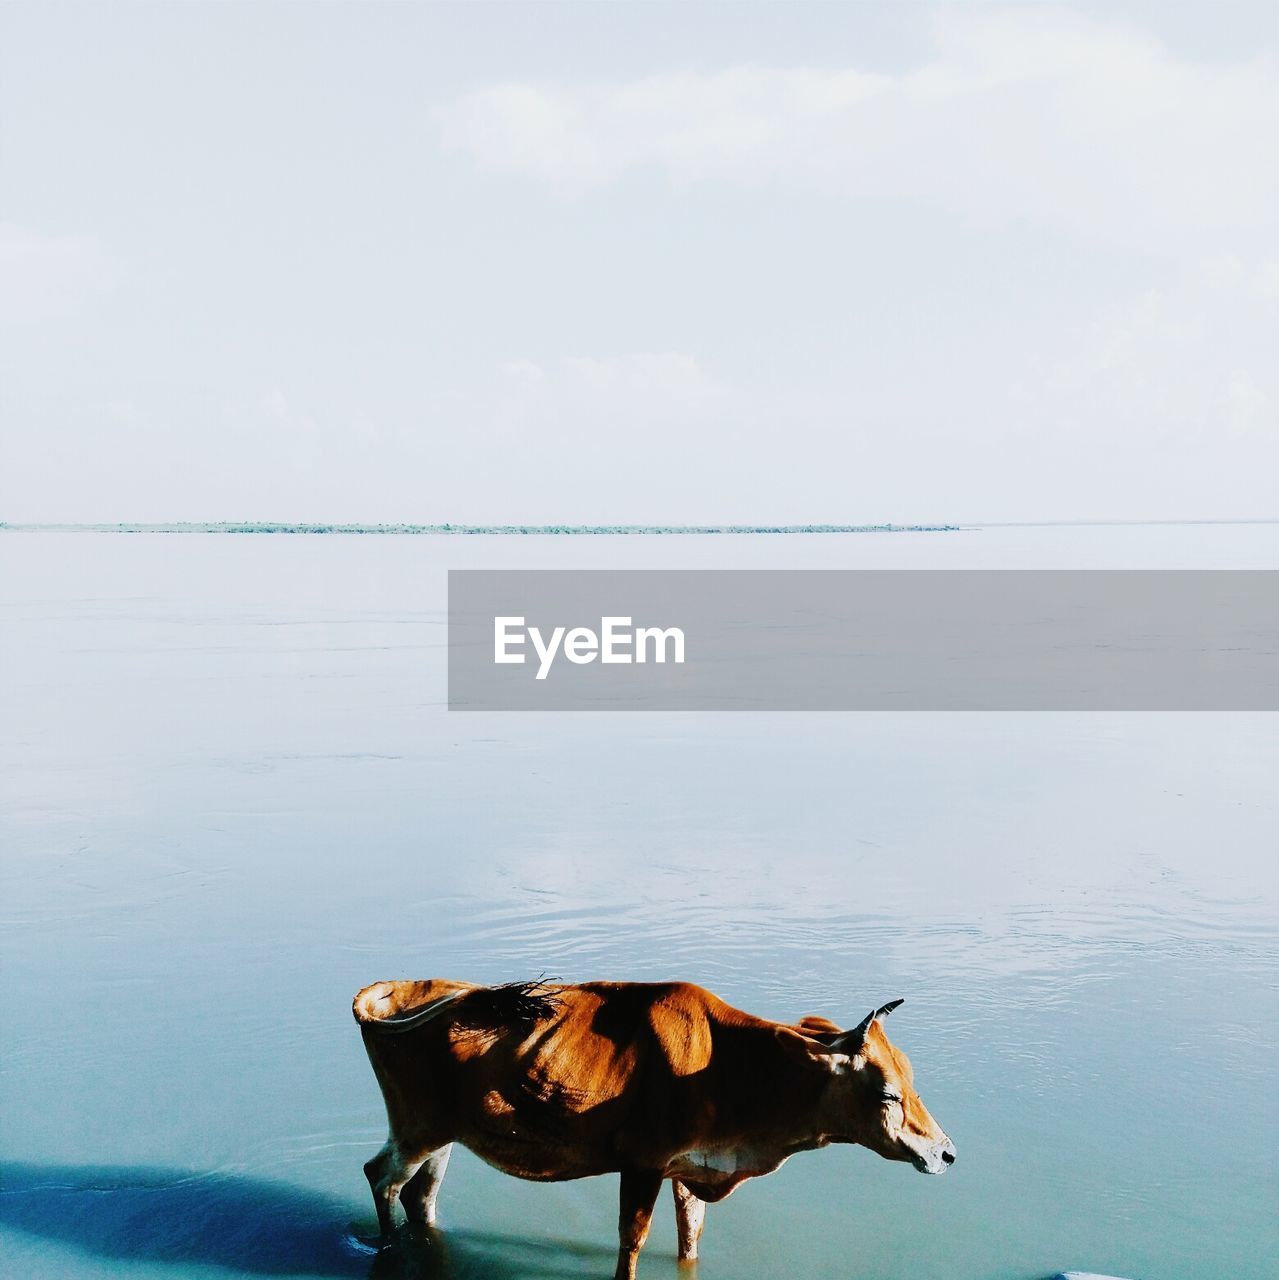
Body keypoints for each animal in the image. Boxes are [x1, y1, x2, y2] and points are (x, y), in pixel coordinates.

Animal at [355, 972, 957, 1274]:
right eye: (886, 1092)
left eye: (911, 1074)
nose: (946, 1152)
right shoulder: (642, 1163)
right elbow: (632, 1243)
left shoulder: (689, 1167)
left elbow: (691, 1239)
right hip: (415, 1127)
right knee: (380, 1177)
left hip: (446, 1135)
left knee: (421, 1195)